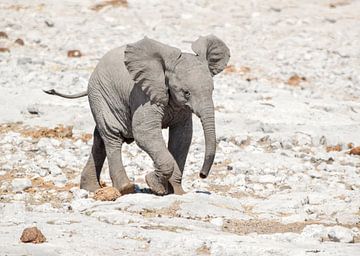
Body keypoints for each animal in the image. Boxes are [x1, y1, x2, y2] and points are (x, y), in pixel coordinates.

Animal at [45, 35, 231, 195]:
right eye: (186, 93)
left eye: (212, 90)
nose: (202, 175)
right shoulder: (144, 94)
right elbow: (144, 133)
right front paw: (154, 184)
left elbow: (182, 137)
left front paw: (177, 192)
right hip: (101, 93)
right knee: (112, 135)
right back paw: (125, 188)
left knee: (100, 137)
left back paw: (90, 188)